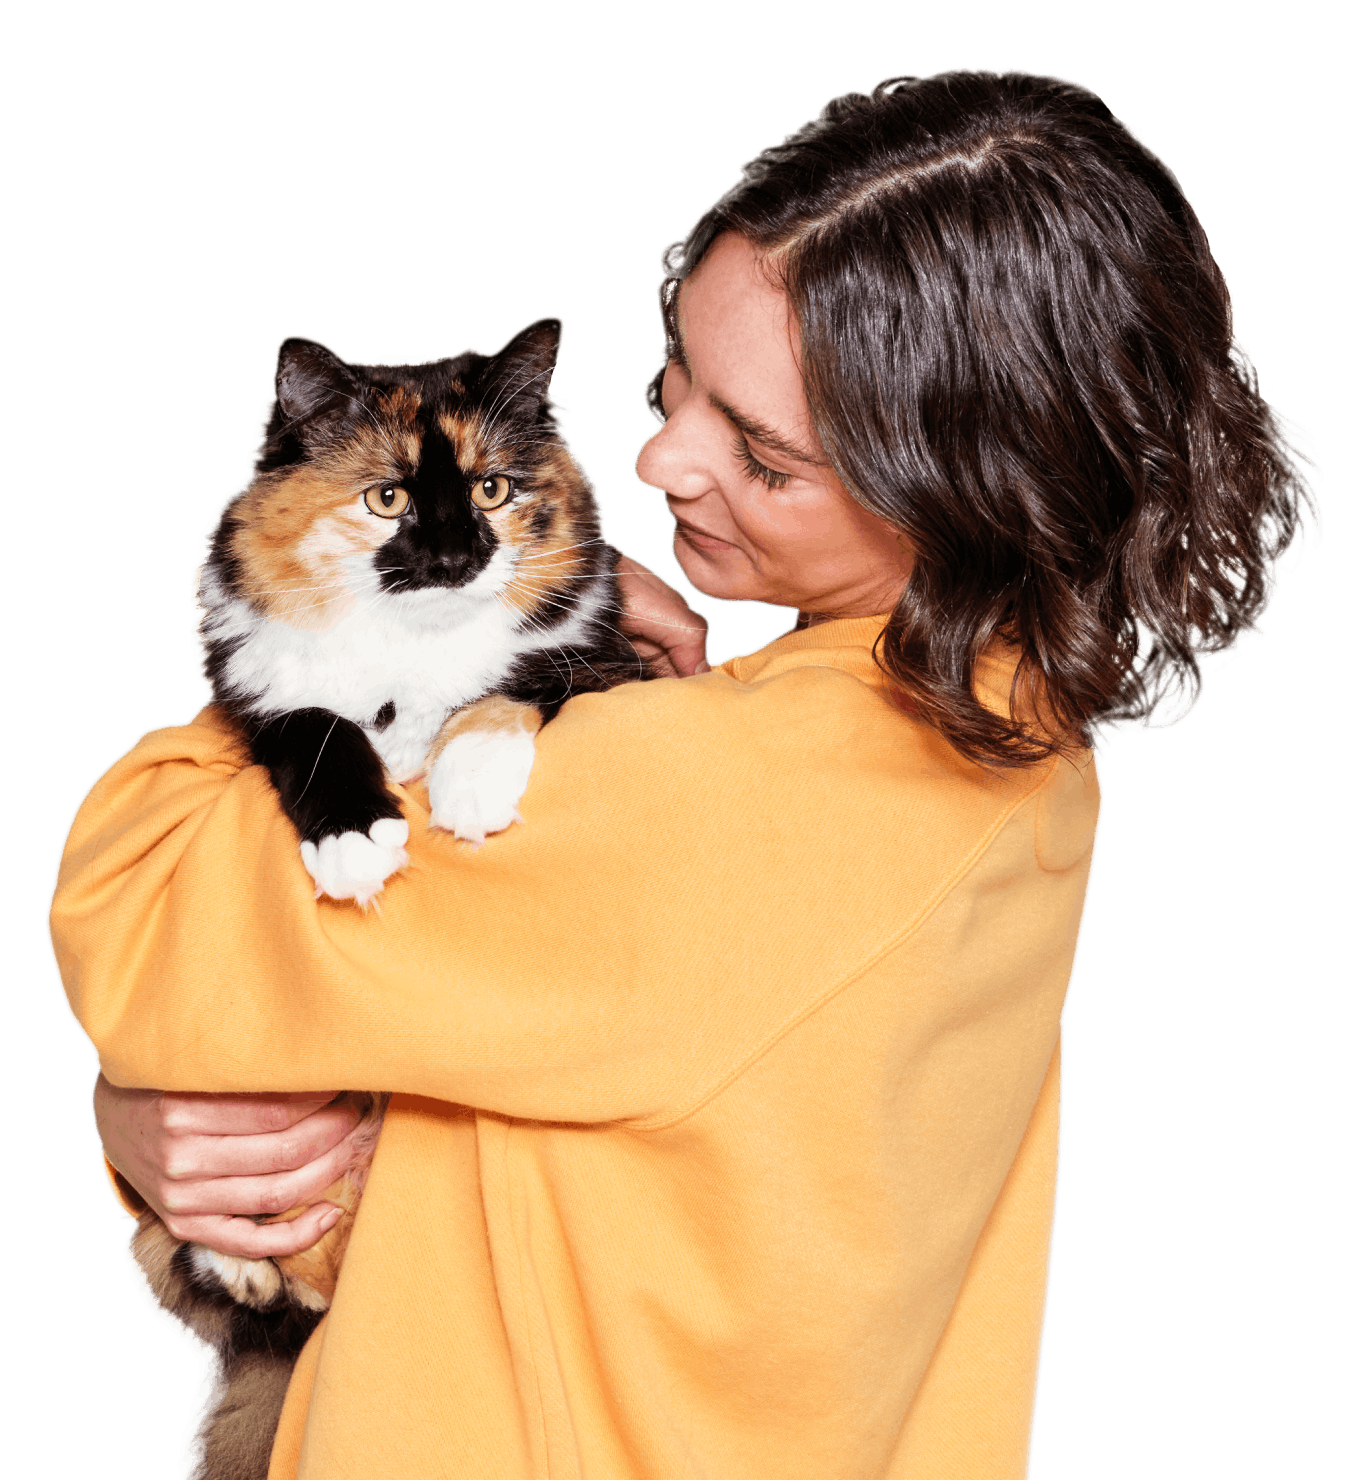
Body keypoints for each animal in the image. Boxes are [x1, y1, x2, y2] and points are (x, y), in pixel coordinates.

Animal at [126, 321, 654, 1480]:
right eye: (388, 499)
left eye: (494, 488)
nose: (461, 558)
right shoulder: (259, 701)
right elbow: (319, 727)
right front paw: (359, 846)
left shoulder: (610, 664)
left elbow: (513, 685)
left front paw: (469, 782)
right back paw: (242, 1262)